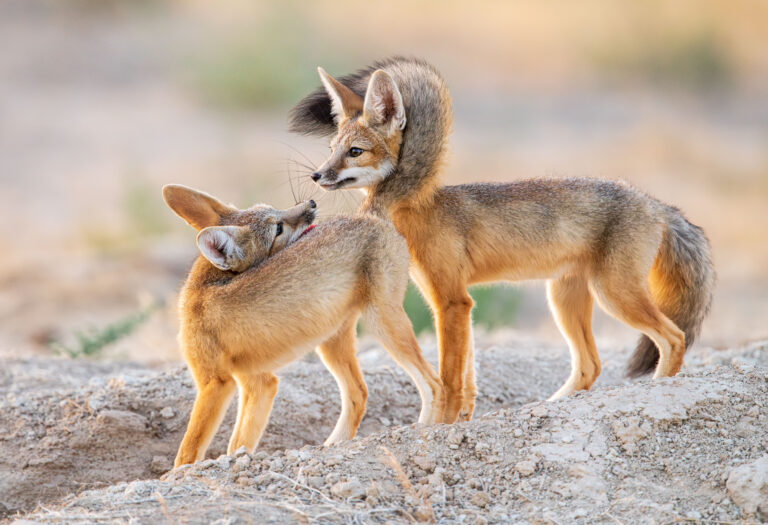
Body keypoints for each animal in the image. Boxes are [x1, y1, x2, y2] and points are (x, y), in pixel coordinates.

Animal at [162, 184, 445, 466]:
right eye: (278, 228)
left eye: (275, 213)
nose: (311, 204)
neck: (203, 287)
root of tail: (367, 214)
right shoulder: (258, 381)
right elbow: (239, 443)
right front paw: (236, 461)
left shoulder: (215, 382)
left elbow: (188, 451)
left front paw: (182, 473)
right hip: (332, 344)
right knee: (360, 393)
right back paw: (332, 446)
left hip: (382, 323)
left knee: (434, 383)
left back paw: (426, 433)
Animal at [289, 57, 716, 423]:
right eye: (331, 150)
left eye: (355, 152)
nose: (317, 176)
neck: (417, 207)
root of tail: (653, 202)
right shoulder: (456, 301)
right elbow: (467, 380)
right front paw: (460, 421)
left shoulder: (452, 301)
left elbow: (449, 380)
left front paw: (438, 428)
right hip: (564, 300)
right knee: (591, 365)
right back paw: (549, 407)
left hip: (615, 295)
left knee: (674, 338)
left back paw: (658, 393)